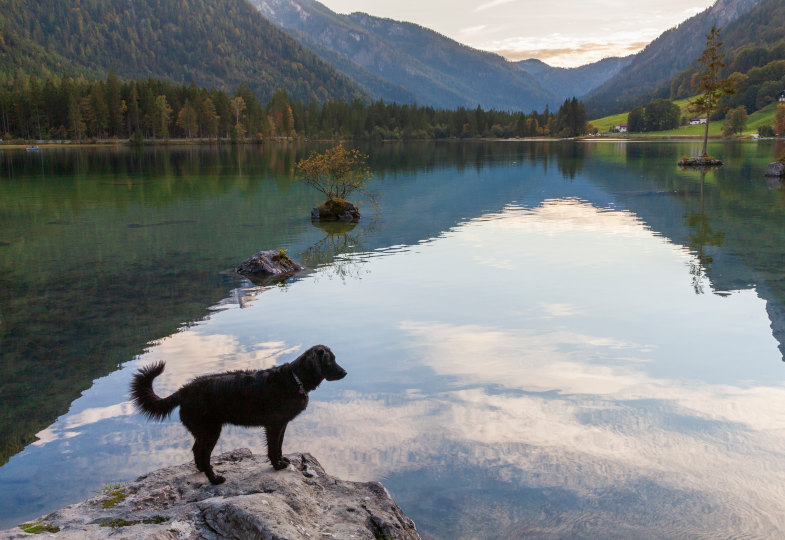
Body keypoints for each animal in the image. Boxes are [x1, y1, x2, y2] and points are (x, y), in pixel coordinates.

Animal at [130, 346, 344, 486]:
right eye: (330, 360)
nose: (346, 372)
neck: (295, 379)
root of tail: (184, 390)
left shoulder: (282, 424)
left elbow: (279, 446)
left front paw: (282, 461)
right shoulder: (273, 425)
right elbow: (272, 448)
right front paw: (276, 465)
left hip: (203, 431)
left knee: (196, 451)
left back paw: (201, 471)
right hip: (211, 431)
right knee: (203, 454)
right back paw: (214, 479)